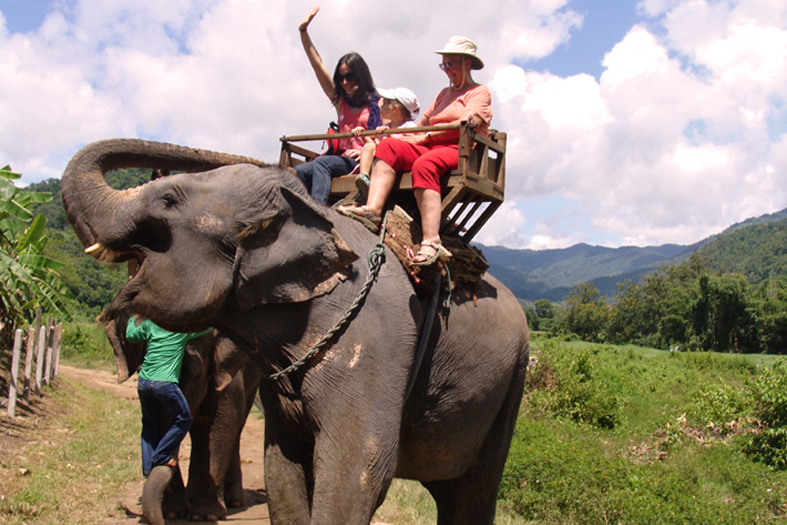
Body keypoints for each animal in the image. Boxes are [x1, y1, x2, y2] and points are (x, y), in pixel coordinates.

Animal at [103, 312, 262, 523]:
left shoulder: (228, 377)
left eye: (193, 373)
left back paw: (233, 502)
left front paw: (206, 515)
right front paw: (172, 512)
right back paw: (191, 496)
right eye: (140, 369)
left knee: (234, 428)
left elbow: (223, 425)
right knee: (199, 432)